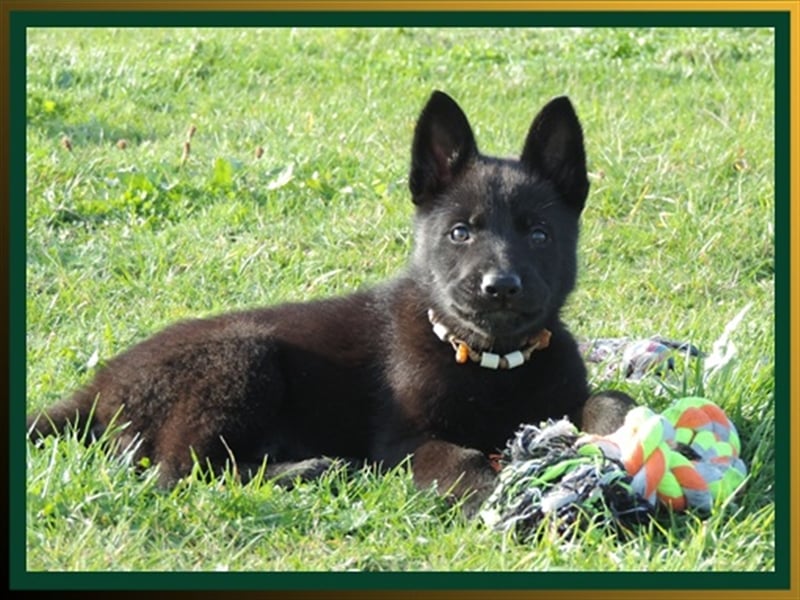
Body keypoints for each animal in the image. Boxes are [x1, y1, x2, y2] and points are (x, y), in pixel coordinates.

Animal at [28, 91, 636, 512]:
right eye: (461, 232)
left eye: (540, 235)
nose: (501, 286)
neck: (491, 362)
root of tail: (99, 388)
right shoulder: (403, 440)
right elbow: (461, 458)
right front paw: (504, 500)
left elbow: (610, 399)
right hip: (240, 358)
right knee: (177, 471)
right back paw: (311, 470)